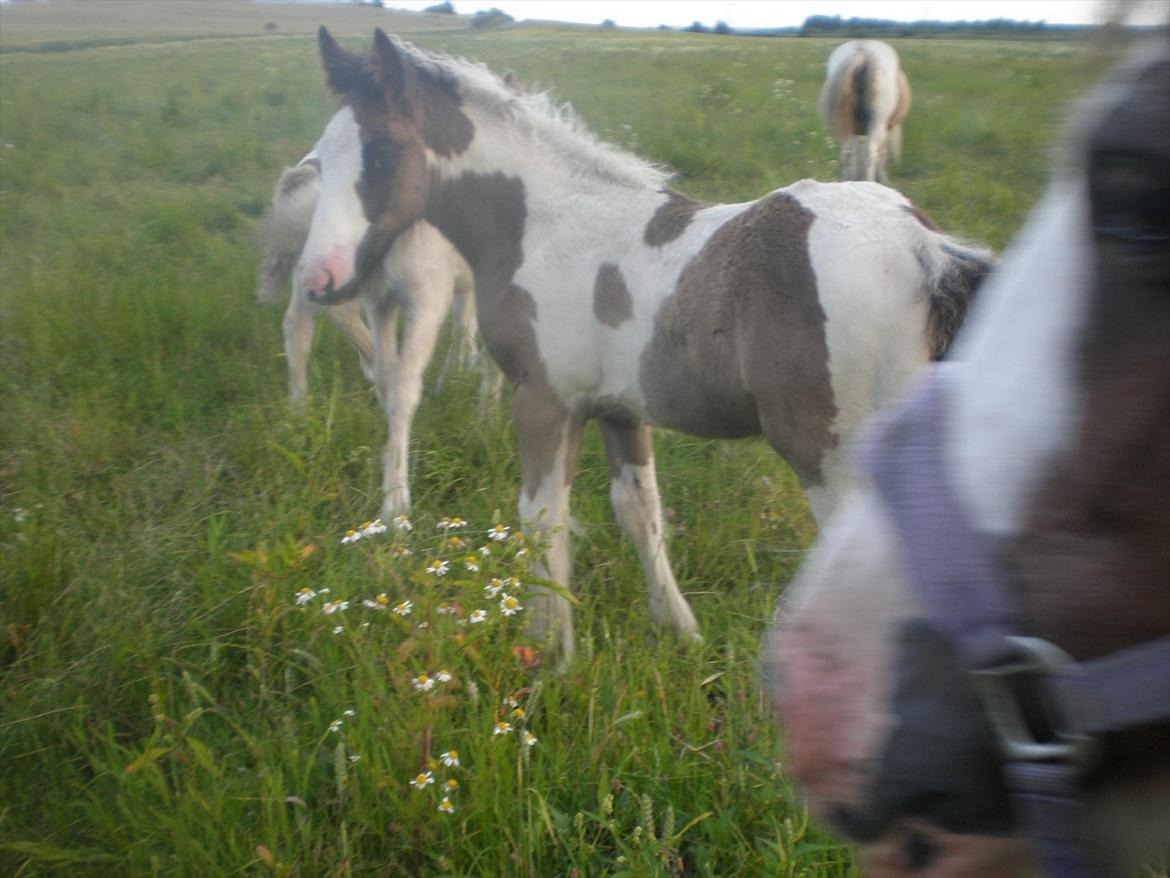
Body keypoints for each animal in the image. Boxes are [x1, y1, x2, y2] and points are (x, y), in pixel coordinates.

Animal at [258, 155, 500, 519]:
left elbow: (465, 322)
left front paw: (459, 378)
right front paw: (484, 417)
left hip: (322, 270)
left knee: (299, 328)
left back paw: (301, 416)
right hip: (413, 286)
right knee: (398, 377)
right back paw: (396, 505)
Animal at [819, 40, 907, 183]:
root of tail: (862, 53)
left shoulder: (856, 130)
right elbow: (881, 153)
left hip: (848, 124)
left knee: (847, 155)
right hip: (877, 122)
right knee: (870, 154)